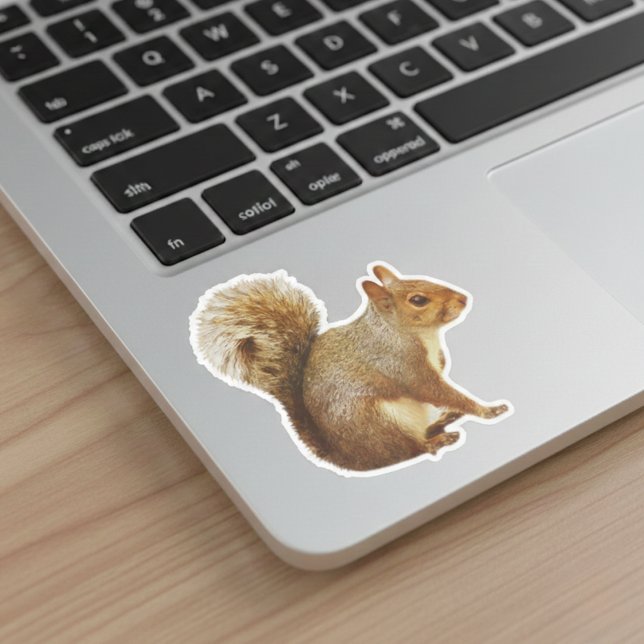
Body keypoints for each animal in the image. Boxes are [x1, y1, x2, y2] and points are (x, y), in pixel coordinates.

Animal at [189, 263, 511, 474]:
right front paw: (488, 410)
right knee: (409, 450)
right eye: (418, 300)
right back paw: (440, 438)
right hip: (378, 421)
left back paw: (443, 421)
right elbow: (436, 390)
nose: (464, 299)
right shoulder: (400, 364)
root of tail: (349, 457)